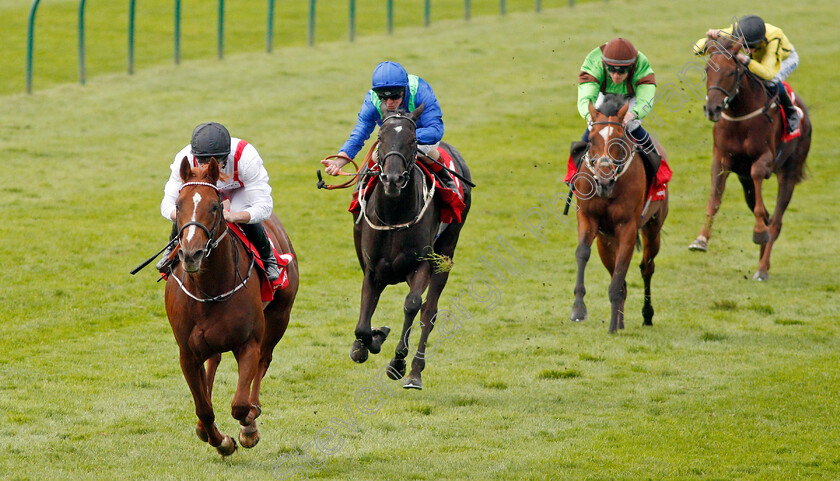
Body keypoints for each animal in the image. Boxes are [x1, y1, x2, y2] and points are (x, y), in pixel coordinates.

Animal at [164, 157, 298, 454]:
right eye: (178, 205)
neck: (210, 289)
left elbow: (240, 405)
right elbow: (204, 408)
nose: (191, 254)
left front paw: (248, 427)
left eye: (214, 207)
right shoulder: (186, 354)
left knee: (264, 360)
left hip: (280, 316)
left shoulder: (248, 343)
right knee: (213, 362)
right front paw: (221, 441)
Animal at [350, 107, 472, 388]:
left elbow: (413, 305)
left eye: (413, 139)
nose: (392, 180)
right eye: (380, 138)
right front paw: (369, 341)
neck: (394, 215)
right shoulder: (373, 269)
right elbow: (363, 321)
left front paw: (397, 362)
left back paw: (415, 371)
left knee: (429, 312)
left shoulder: (423, 263)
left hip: (446, 251)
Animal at [572, 95, 668, 332]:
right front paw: (578, 309)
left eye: (620, 140)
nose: (604, 181)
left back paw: (646, 315)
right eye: (592, 140)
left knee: (646, 268)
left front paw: (612, 328)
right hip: (606, 240)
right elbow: (582, 252)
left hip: (653, 227)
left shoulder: (628, 227)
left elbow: (621, 274)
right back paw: (621, 321)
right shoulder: (588, 218)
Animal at [688, 36, 812, 282]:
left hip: (789, 172)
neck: (739, 115)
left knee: (776, 222)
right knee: (766, 214)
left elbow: (758, 175)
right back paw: (762, 259)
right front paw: (701, 239)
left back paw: (762, 267)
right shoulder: (722, 160)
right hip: (745, 183)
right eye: (707, 69)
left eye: (730, 72)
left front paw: (758, 233)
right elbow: (714, 200)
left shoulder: (766, 159)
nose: (712, 109)